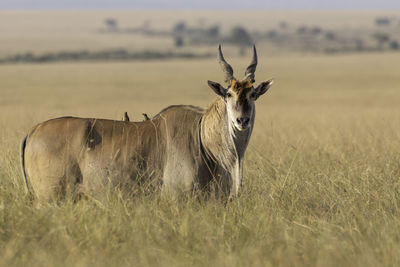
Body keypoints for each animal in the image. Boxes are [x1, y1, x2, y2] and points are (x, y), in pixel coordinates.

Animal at [20, 45, 274, 201]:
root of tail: (32, 131)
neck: (203, 138)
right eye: (228, 94)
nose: (242, 120)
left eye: (253, 95)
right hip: (50, 198)